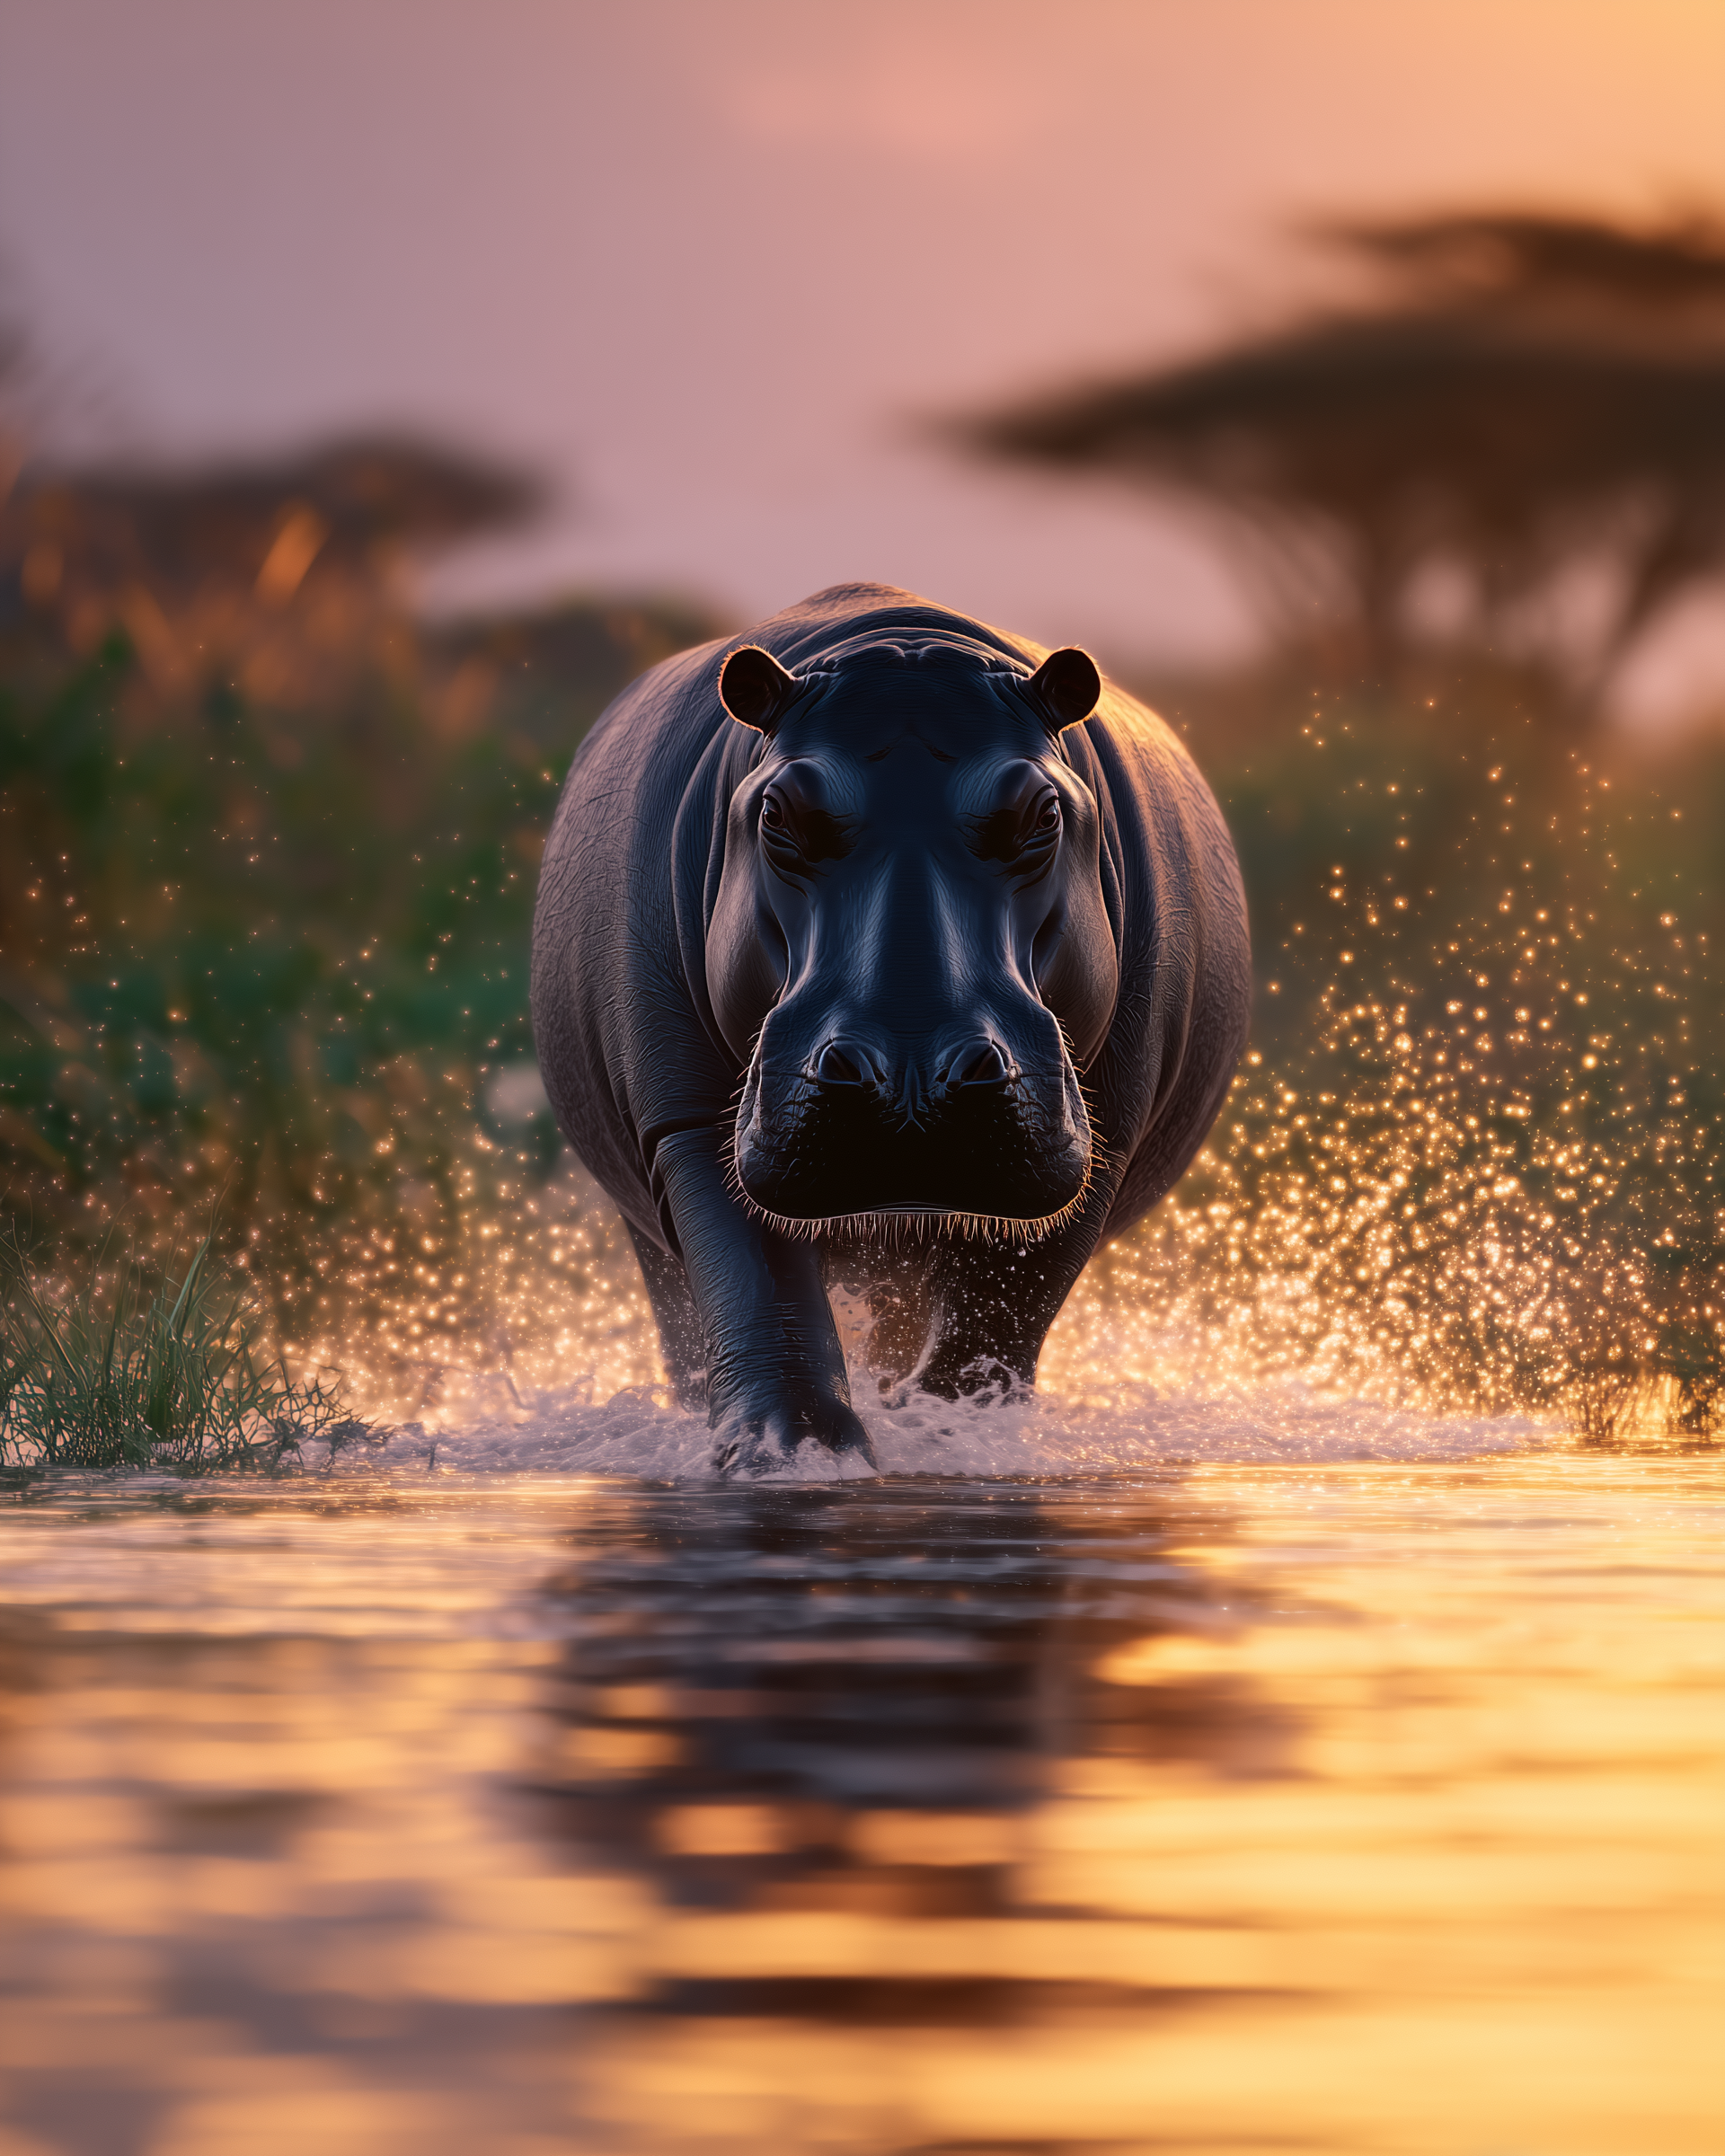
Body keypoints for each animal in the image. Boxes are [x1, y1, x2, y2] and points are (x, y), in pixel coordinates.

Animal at [531, 584, 1249, 1470]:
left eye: (1045, 810)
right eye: (776, 811)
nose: (912, 1072)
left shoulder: (1105, 1135)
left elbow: (1003, 1311)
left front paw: (950, 1437)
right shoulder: (688, 1119)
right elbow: (755, 1279)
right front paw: (794, 1453)